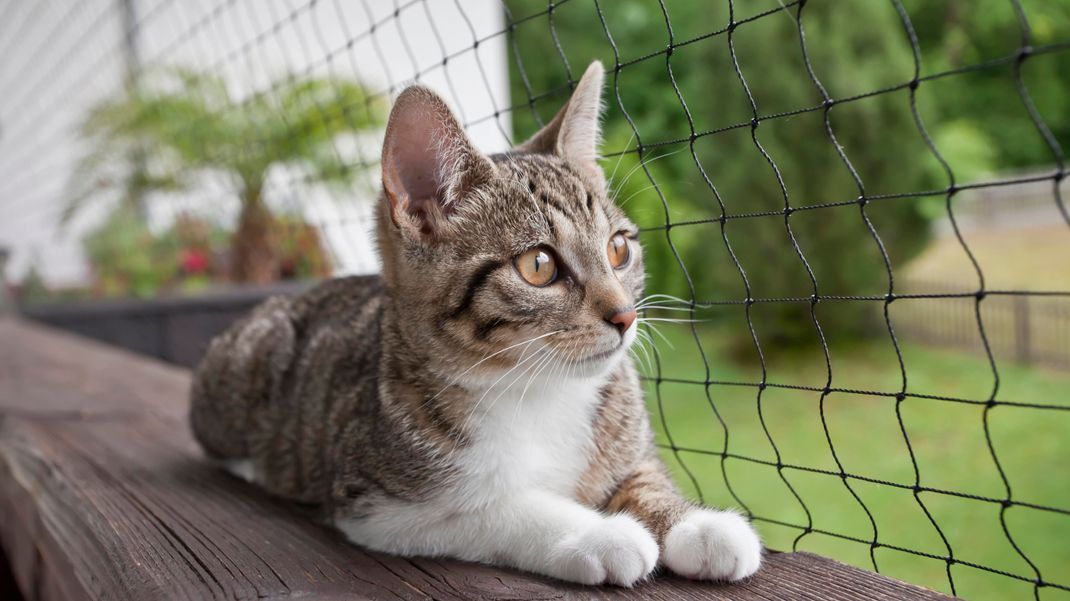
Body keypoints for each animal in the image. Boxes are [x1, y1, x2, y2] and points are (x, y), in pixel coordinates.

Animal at [190, 60, 761, 586]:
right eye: (539, 265)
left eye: (618, 249)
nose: (625, 315)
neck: (540, 390)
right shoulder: (377, 501)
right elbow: (489, 509)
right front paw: (602, 533)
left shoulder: (627, 436)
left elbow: (645, 476)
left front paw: (698, 525)